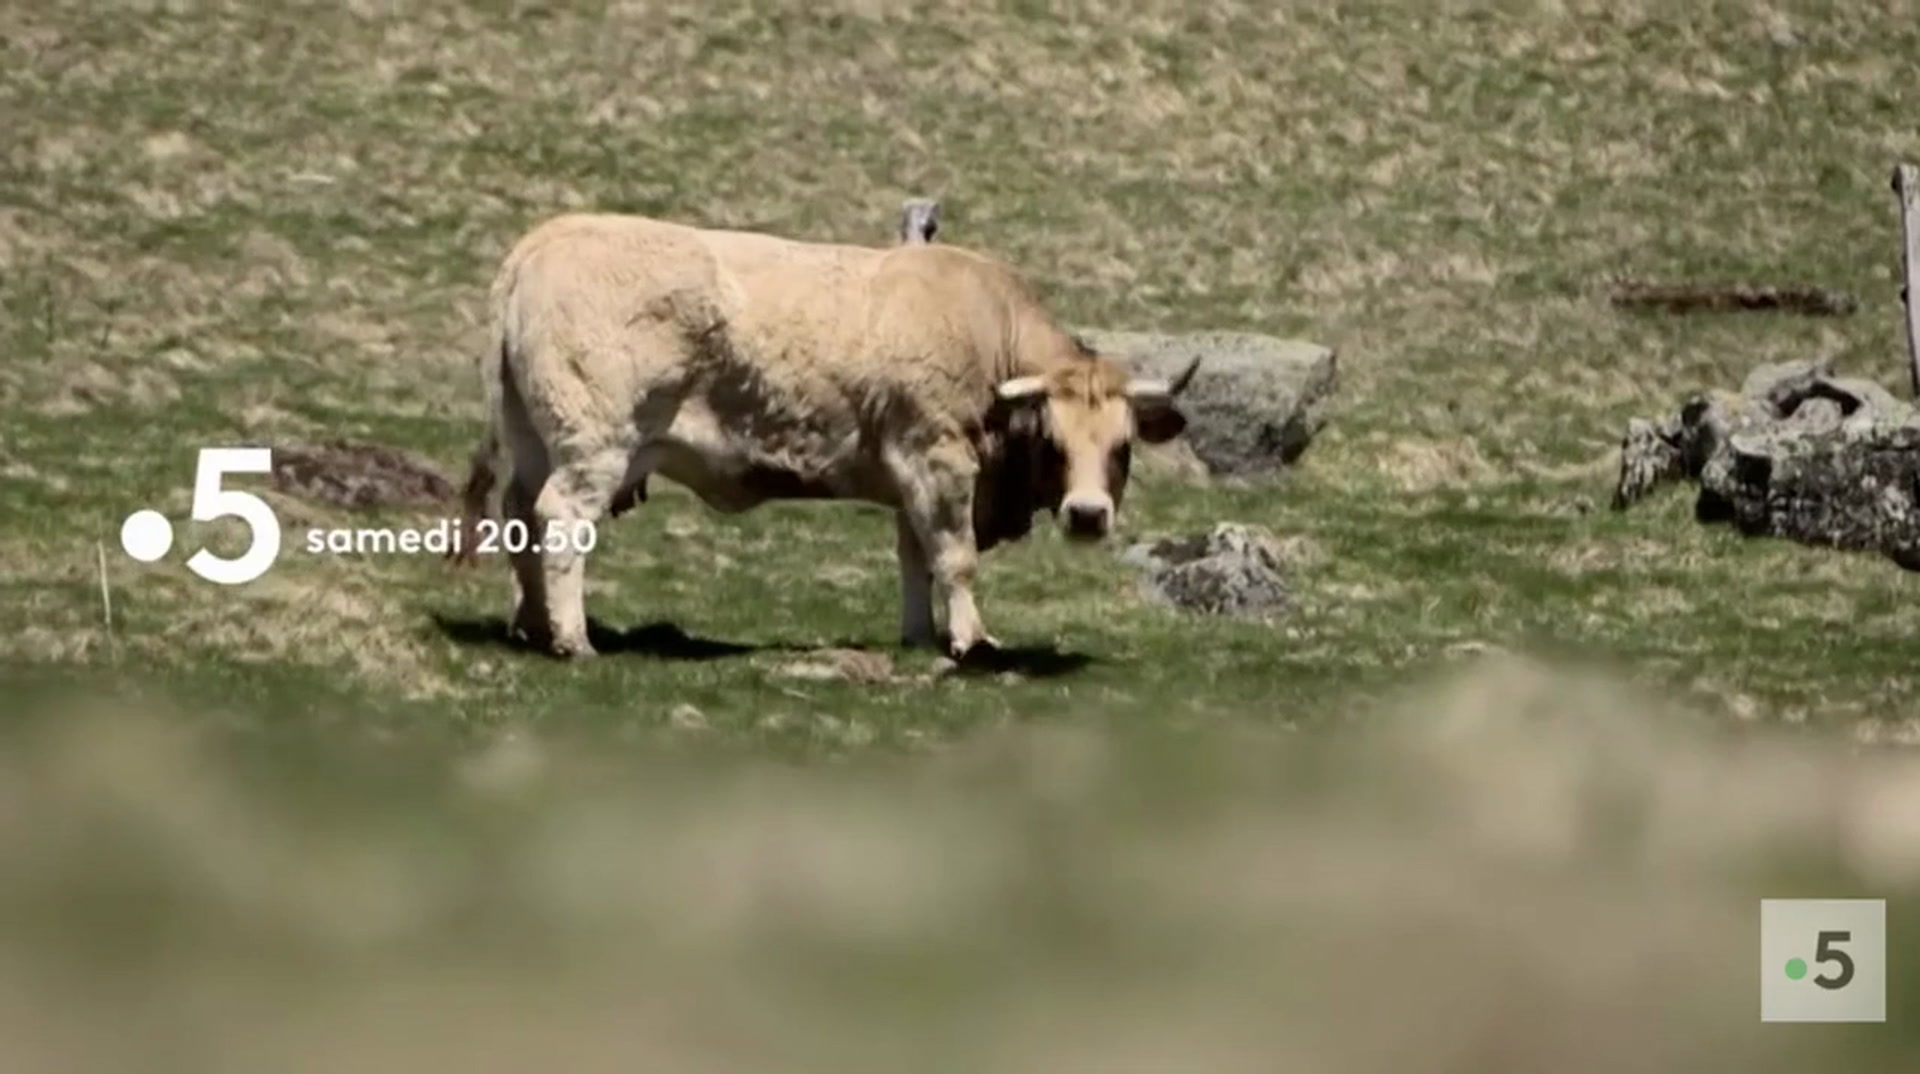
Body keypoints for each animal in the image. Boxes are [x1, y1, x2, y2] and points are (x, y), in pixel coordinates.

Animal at [449, 213, 1198, 660]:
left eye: (1122, 447)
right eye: (1056, 442)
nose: (1088, 515)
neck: (988, 328)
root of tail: (547, 238)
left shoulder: (910, 478)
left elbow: (915, 557)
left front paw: (917, 635)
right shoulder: (939, 458)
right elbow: (954, 556)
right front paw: (970, 640)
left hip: (532, 438)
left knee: (519, 515)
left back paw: (531, 623)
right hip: (596, 443)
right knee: (560, 519)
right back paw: (571, 638)